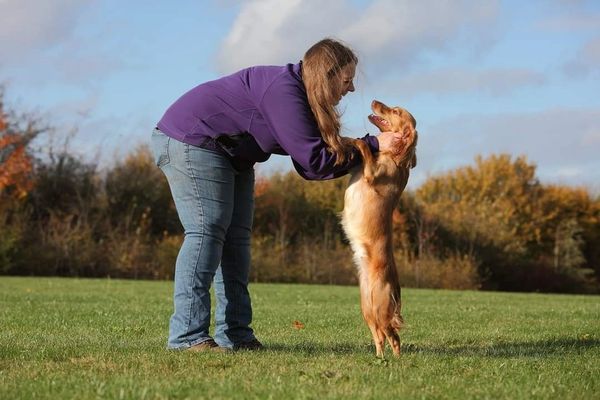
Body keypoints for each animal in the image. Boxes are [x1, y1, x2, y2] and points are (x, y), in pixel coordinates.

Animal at [340, 100, 420, 360]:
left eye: (395, 111)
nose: (375, 101)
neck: (393, 156)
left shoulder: (371, 173)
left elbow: (365, 148)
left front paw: (355, 140)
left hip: (382, 310)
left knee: (394, 337)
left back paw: (396, 359)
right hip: (369, 311)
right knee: (379, 337)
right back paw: (379, 357)